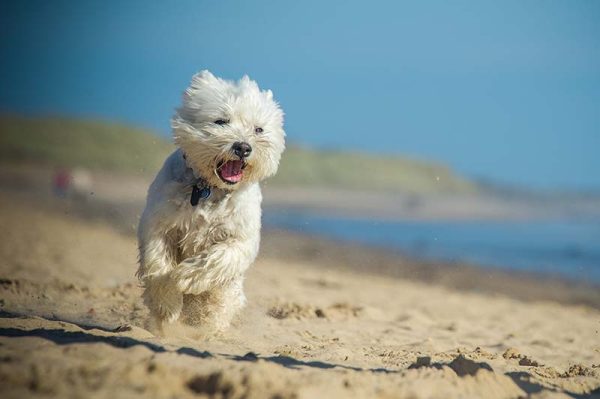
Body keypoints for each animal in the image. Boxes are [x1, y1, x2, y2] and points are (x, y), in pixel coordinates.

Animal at [137, 71, 286, 332]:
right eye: (221, 121)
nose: (243, 147)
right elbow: (157, 263)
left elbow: (220, 257)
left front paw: (185, 276)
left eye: (259, 129)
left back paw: (207, 329)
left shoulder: (241, 238)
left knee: (219, 304)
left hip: (230, 293)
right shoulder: (159, 225)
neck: (210, 189)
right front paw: (167, 304)